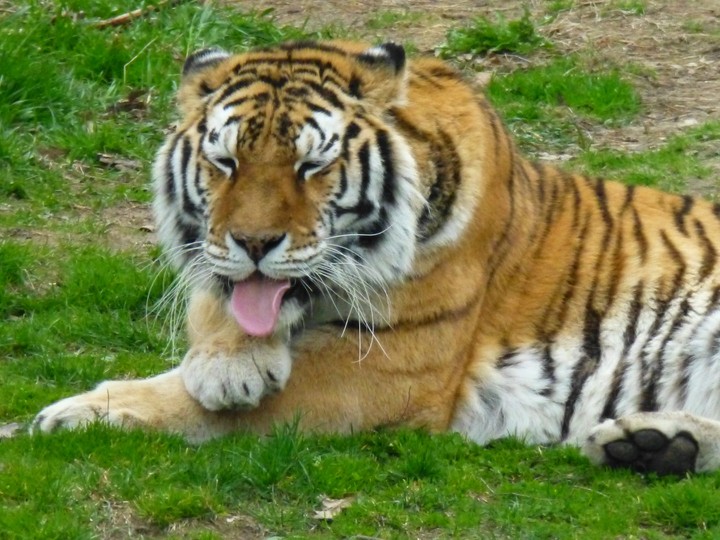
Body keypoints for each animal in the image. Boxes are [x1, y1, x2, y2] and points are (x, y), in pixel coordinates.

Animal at [34, 40, 720, 476]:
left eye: (311, 166)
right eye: (225, 162)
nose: (254, 243)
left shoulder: (386, 365)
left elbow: (199, 403)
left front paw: (74, 414)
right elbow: (217, 297)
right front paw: (228, 365)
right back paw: (657, 444)